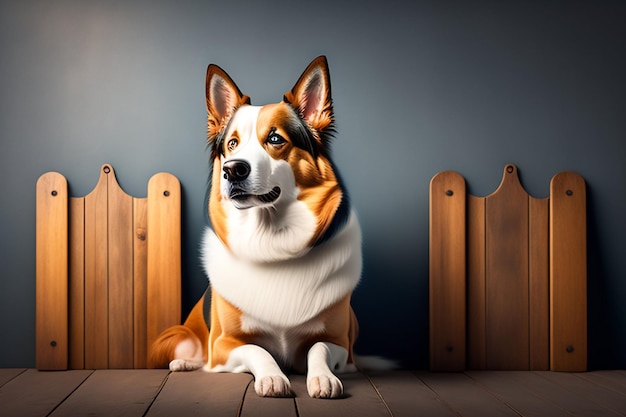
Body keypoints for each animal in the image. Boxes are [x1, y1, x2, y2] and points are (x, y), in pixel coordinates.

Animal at [151, 54, 364, 396]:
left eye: (275, 139)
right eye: (232, 144)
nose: (232, 170)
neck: (270, 240)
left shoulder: (340, 344)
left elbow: (318, 347)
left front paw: (323, 378)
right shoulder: (224, 345)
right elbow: (256, 349)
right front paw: (273, 377)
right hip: (185, 336)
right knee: (198, 354)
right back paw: (185, 363)